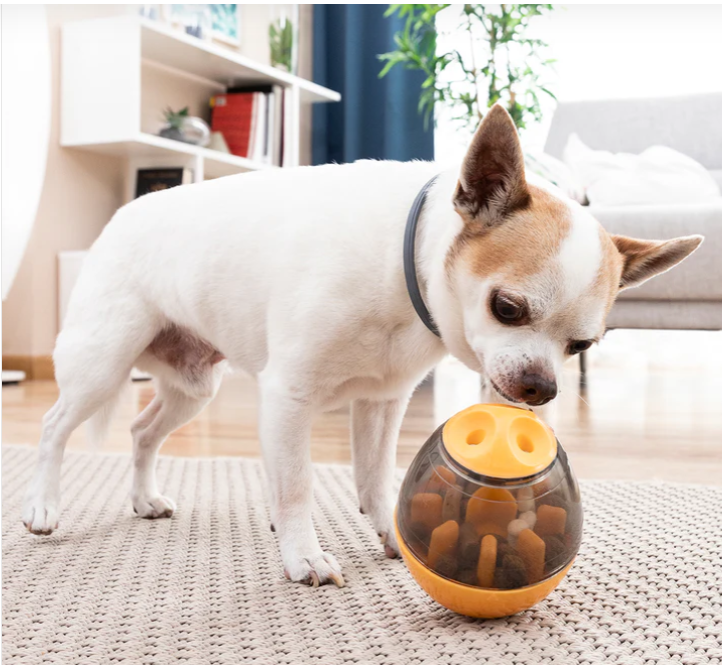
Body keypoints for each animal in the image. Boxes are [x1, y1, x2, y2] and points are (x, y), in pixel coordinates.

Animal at [21, 105, 696, 588]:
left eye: (582, 345)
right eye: (506, 308)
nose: (541, 387)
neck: (403, 273)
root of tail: (124, 212)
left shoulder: (381, 403)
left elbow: (375, 480)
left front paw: (396, 536)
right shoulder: (288, 398)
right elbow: (296, 485)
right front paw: (303, 556)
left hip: (195, 385)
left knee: (142, 432)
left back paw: (142, 499)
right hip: (103, 362)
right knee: (54, 426)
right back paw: (43, 507)